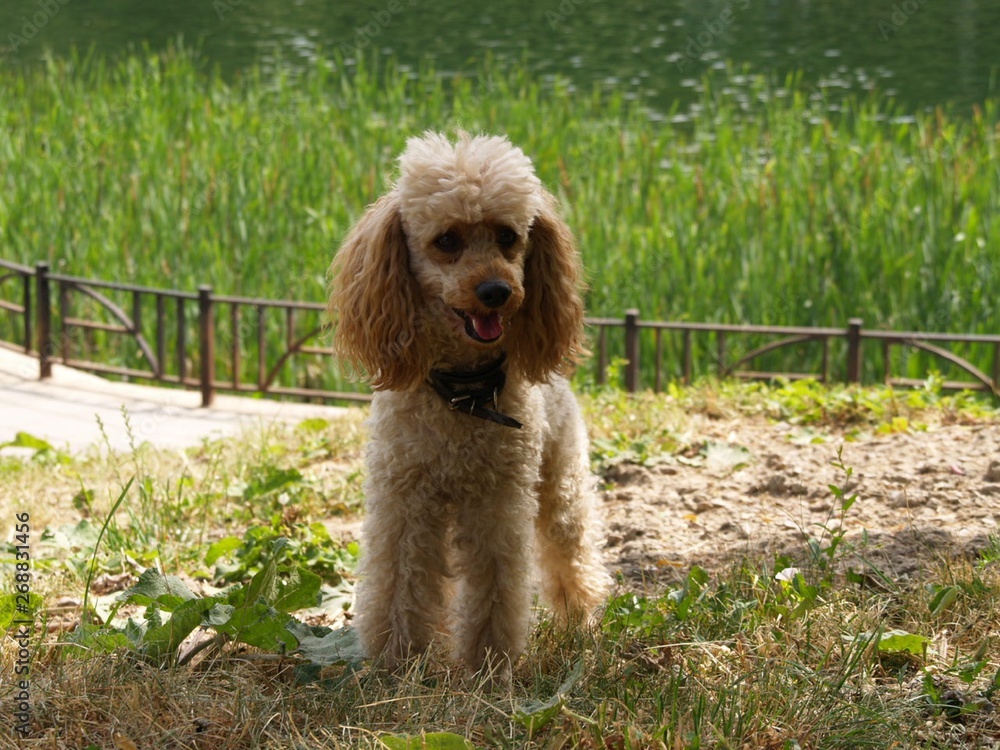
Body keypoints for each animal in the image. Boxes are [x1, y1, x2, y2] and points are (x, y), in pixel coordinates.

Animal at [329, 132, 608, 677]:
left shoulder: (497, 502)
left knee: (572, 552)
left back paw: (580, 623)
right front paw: (397, 661)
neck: (463, 395)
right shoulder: (405, 499)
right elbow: (399, 582)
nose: (496, 291)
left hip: (560, 483)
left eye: (507, 236)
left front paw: (488, 665)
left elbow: (496, 586)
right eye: (447, 241)